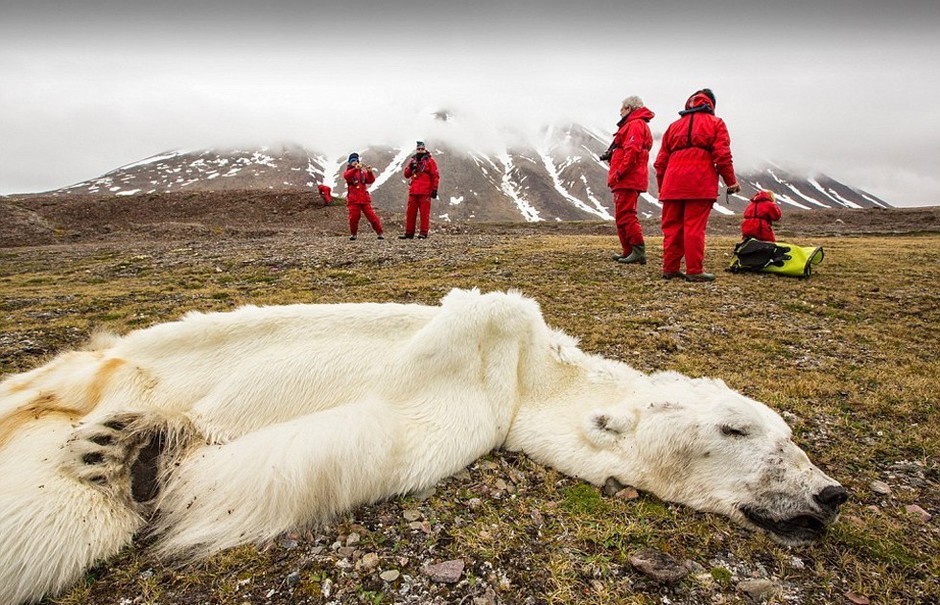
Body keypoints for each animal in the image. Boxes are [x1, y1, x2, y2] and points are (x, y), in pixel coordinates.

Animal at [0, 288, 844, 604]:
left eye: (787, 433)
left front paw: (144, 457)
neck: (528, 372)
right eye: (737, 427)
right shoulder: (478, 360)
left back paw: (112, 449)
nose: (829, 492)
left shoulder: (469, 413)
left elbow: (337, 446)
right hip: (117, 358)